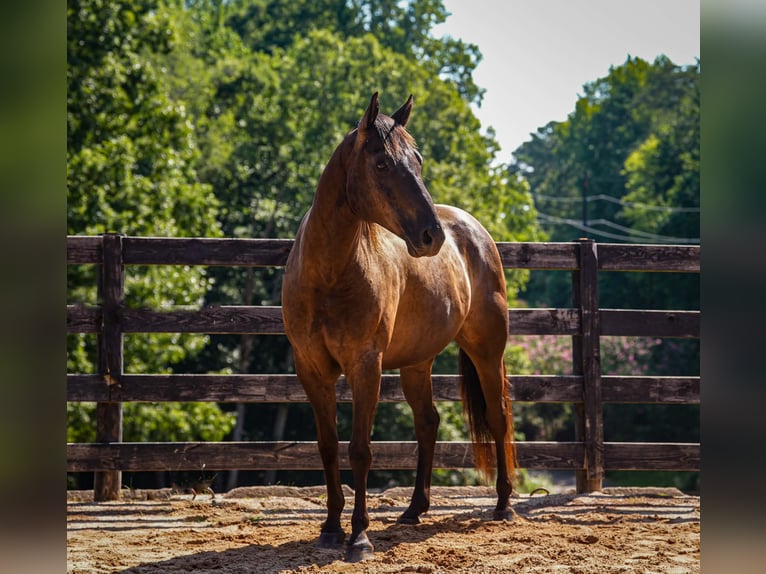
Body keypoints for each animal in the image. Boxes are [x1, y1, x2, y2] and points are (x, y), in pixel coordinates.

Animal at [281, 92, 517, 562]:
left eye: (418, 161)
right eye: (382, 164)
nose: (432, 236)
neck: (327, 277)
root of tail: (473, 230)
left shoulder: (365, 367)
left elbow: (360, 450)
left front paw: (359, 536)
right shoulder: (311, 370)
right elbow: (328, 447)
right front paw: (330, 528)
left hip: (486, 350)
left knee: (496, 418)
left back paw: (503, 505)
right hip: (416, 364)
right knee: (428, 422)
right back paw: (413, 510)